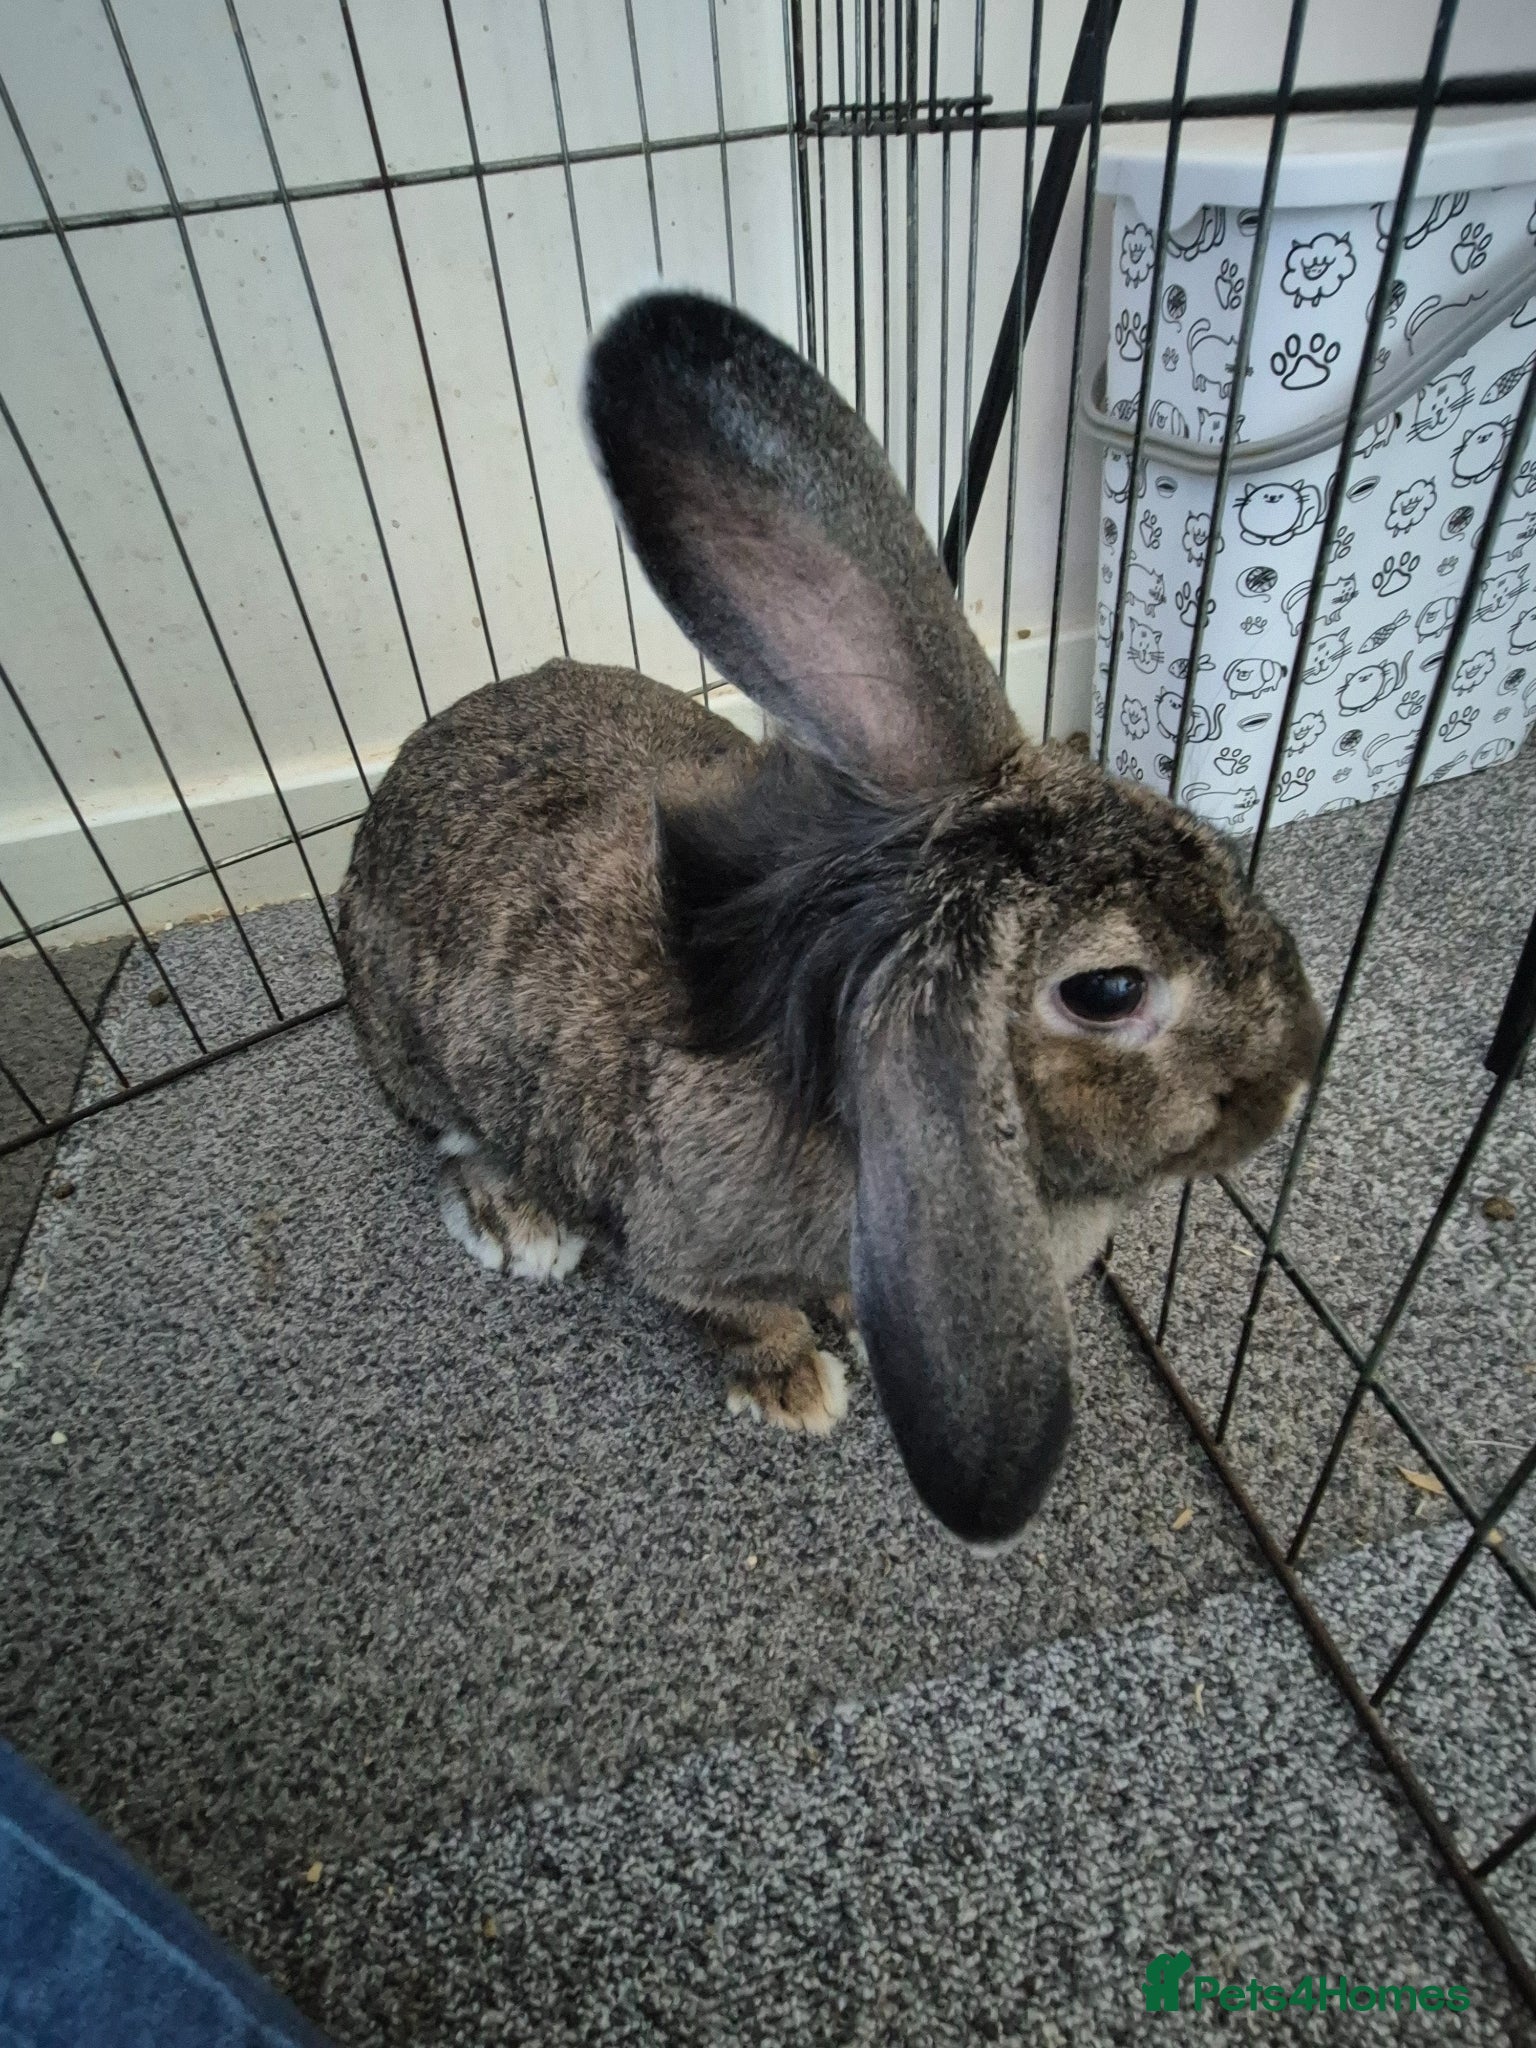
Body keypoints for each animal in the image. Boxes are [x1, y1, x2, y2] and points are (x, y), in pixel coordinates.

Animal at [338, 293, 1323, 1550]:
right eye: (1109, 989)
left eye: (1202, 836)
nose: (1297, 1070)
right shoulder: (690, 1245)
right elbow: (735, 1312)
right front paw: (796, 1385)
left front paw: (849, 1319)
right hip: (418, 1054)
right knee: (451, 1139)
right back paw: (521, 1223)